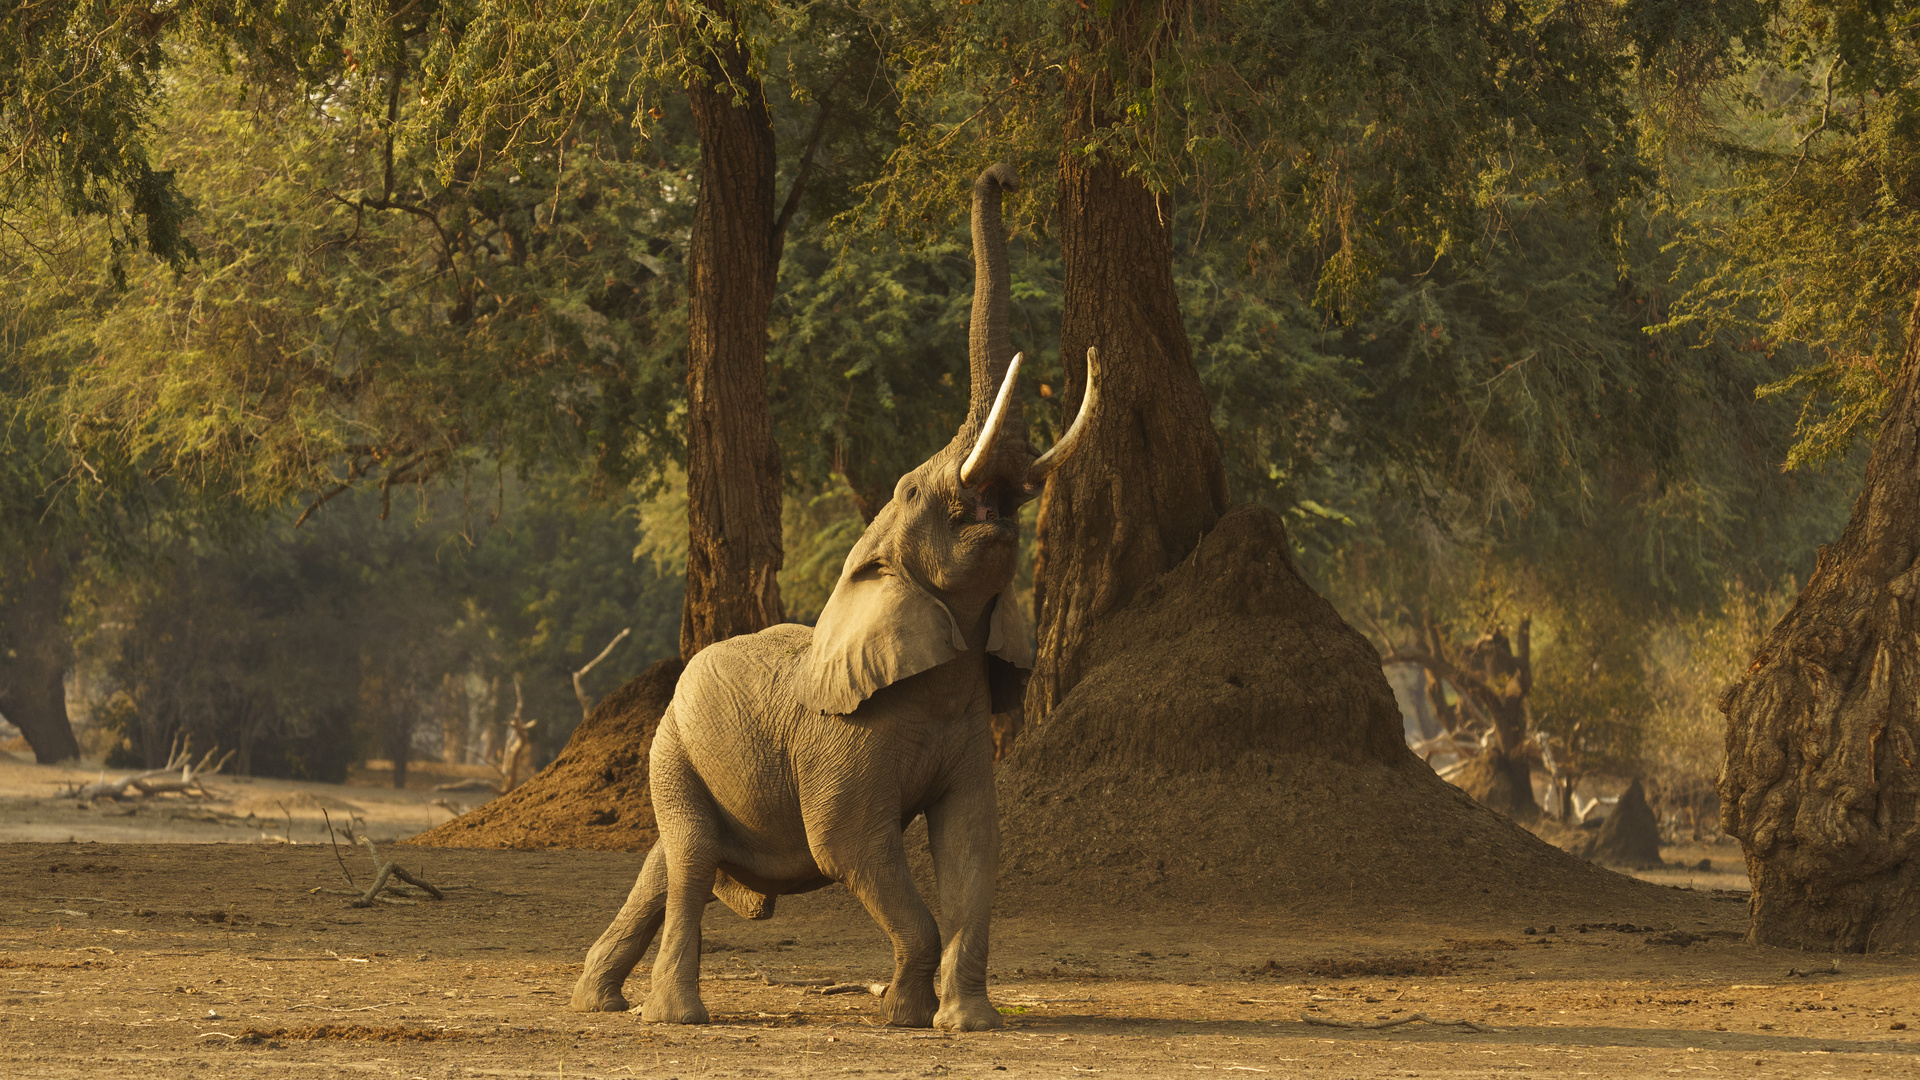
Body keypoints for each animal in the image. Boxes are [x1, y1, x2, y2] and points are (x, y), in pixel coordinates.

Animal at [568, 164, 1105, 1030]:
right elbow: (849, 845)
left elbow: (973, 844)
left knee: (666, 860)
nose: (997, 174)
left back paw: (601, 1001)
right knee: (689, 859)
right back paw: (674, 1016)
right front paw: (904, 1018)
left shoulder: (967, 729)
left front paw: (963, 1024)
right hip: (670, 748)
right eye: (915, 489)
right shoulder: (842, 740)